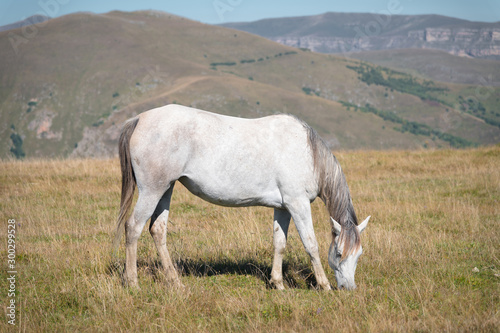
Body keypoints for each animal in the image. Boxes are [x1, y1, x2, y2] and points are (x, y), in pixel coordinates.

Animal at [115, 104, 370, 288]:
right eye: (339, 253)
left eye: (359, 255)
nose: (348, 288)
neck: (308, 154)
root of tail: (139, 119)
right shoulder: (298, 204)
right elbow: (311, 244)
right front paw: (324, 285)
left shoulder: (283, 207)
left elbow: (279, 243)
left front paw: (278, 284)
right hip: (152, 190)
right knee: (133, 227)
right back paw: (133, 282)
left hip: (166, 189)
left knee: (157, 230)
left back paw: (175, 281)